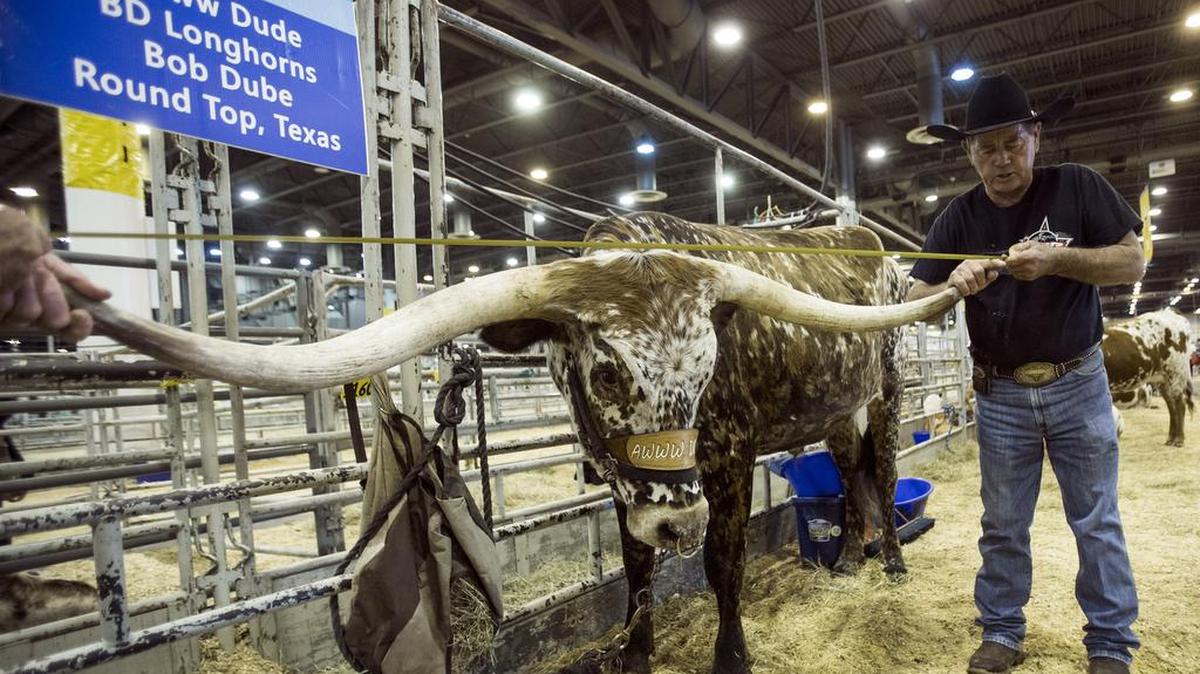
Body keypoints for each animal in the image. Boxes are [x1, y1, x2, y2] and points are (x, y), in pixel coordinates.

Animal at [63, 212, 959, 673]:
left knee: (881, 471)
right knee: (851, 477)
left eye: (708, 368)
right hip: (836, 413)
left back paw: (892, 564)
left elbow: (724, 563)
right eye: (606, 373)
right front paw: (634, 653)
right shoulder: (622, 480)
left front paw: (730, 657)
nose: (677, 519)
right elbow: (636, 566)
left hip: (886, 392)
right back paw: (849, 558)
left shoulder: (727, 460)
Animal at [1102, 309, 1194, 446]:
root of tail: (1169, 312)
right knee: (1171, 406)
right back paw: (1170, 439)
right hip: (1163, 379)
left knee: (1179, 404)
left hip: (1176, 372)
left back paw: (1179, 440)